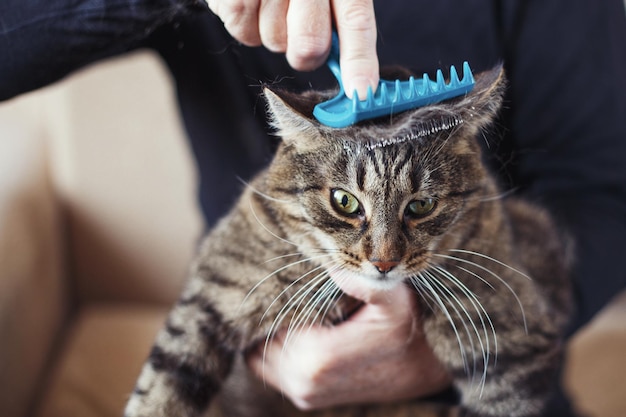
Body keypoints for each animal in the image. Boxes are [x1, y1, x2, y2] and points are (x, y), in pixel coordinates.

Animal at [123, 66, 572, 416]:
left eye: (422, 205)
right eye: (344, 202)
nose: (385, 262)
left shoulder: (513, 340)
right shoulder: (211, 297)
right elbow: (158, 390)